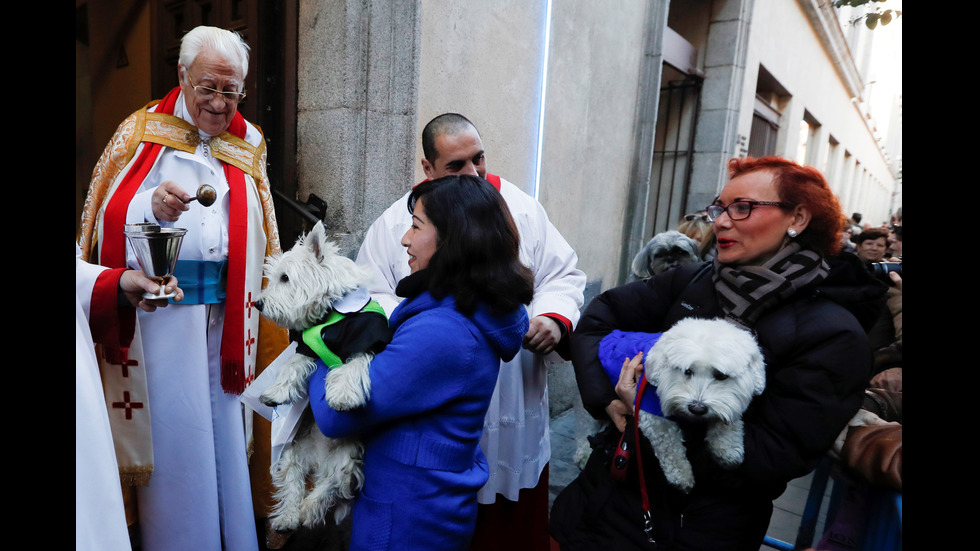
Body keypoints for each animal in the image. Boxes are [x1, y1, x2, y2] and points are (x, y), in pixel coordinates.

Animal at [256, 221, 390, 536]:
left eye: (285, 278)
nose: (258, 304)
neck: (330, 314)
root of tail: (318, 458)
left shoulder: (365, 338)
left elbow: (351, 367)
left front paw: (342, 397)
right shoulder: (306, 346)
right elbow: (292, 365)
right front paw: (276, 393)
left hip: (347, 457)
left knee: (332, 486)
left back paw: (309, 510)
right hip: (292, 452)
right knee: (293, 483)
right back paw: (288, 518)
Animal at [636, 316, 764, 494]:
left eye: (721, 375)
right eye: (687, 371)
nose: (697, 408)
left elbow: (727, 417)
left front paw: (728, 447)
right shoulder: (652, 416)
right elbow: (669, 447)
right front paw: (681, 476)